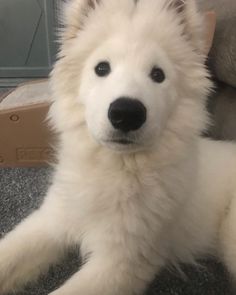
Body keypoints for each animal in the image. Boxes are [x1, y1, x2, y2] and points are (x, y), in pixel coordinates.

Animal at [0, 0, 236, 295]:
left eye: (158, 74)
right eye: (101, 68)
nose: (126, 113)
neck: (114, 167)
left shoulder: (122, 261)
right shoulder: (51, 221)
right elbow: (9, 253)